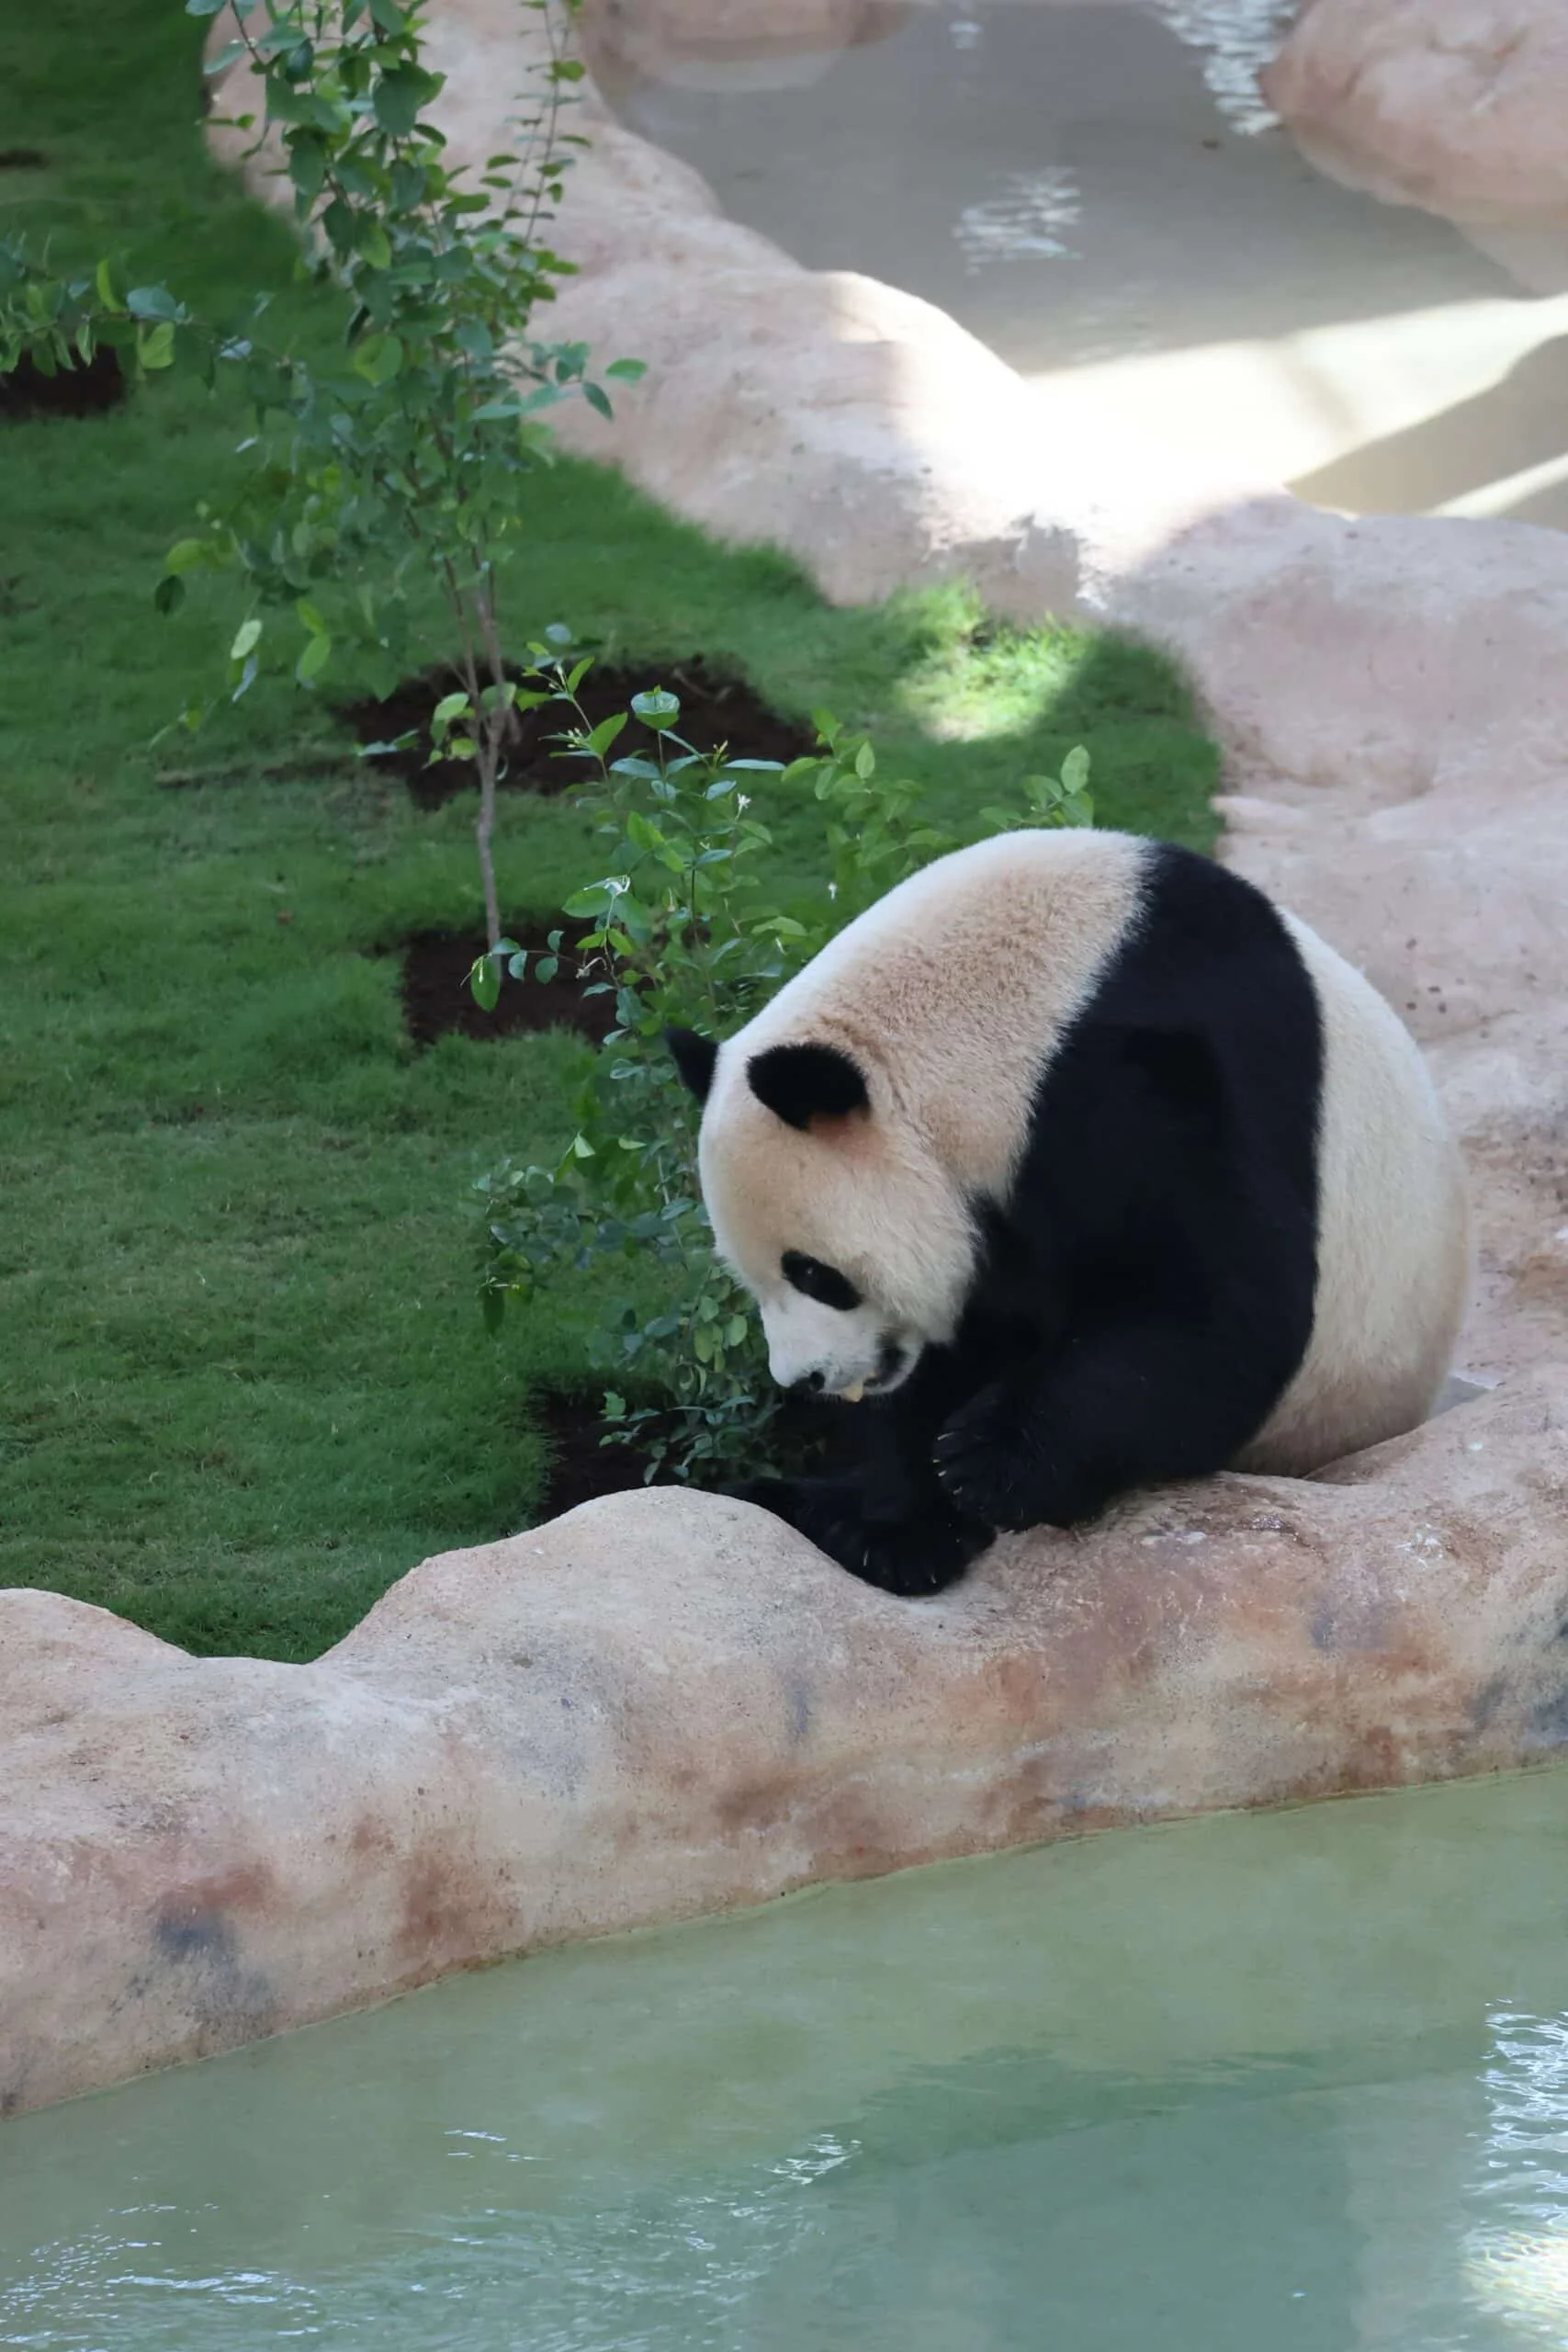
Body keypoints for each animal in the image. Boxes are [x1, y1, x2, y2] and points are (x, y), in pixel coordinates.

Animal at [667, 829, 1470, 1598]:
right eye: (752, 1280)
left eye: (813, 1273)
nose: (805, 1379)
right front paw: (896, 1531)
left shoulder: (1142, 1079)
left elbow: (1208, 1308)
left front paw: (986, 1463)